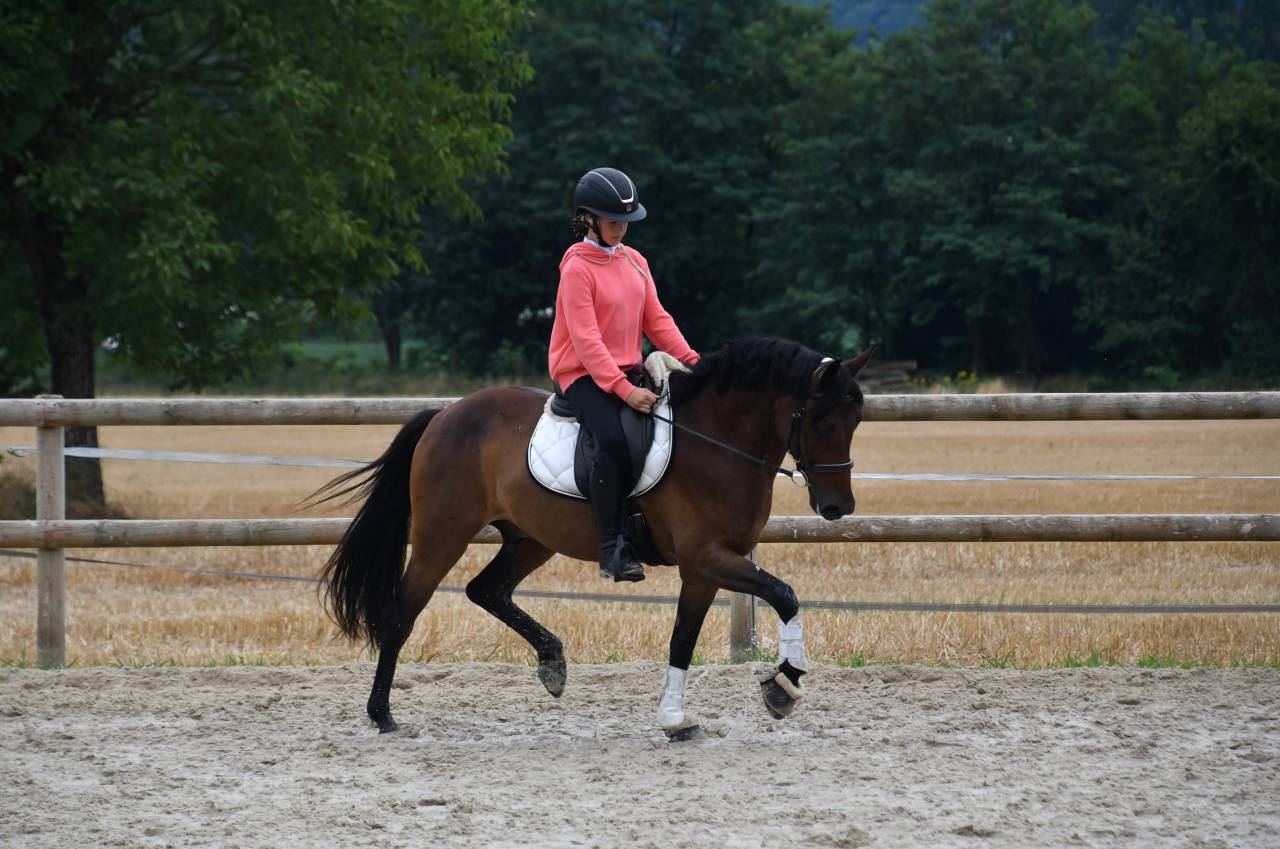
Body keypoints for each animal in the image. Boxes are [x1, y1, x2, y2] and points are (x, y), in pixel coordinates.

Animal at [313, 336, 873, 739]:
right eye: (823, 422)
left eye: (856, 422)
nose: (837, 508)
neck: (716, 443)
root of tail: (446, 414)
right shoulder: (708, 558)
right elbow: (785, 594)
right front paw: (784, 685)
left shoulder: (707, 568)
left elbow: (684, 638)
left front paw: (675, 720)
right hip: (442, 534)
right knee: (401, 613)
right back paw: (382, 714)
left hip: (531, 538)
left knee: (486, 590)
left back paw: (552, 663)